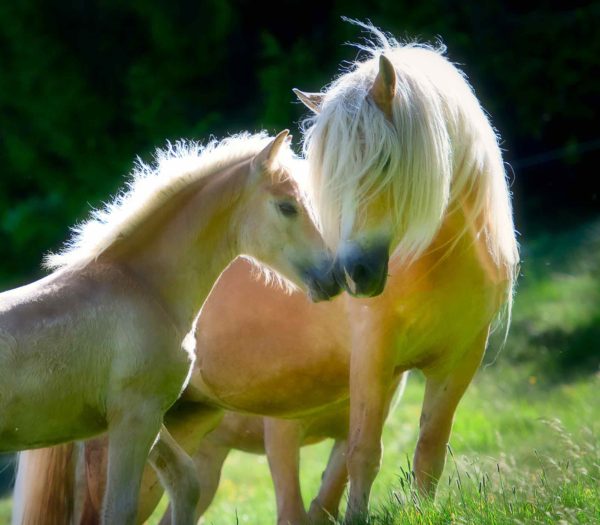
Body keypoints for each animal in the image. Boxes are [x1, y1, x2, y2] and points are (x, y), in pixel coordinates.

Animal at [4, 128, 340, 524]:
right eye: (288, 206)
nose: (333, 277)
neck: (144, 288)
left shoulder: (145, 417)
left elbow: (185, 482)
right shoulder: (135, 416)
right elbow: (121, 508)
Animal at [292, 23, 516, 520]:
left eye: (385, 162)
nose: (353, 274)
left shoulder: (460, 359)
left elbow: (429, 448)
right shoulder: (372, 353)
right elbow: (363, 451)